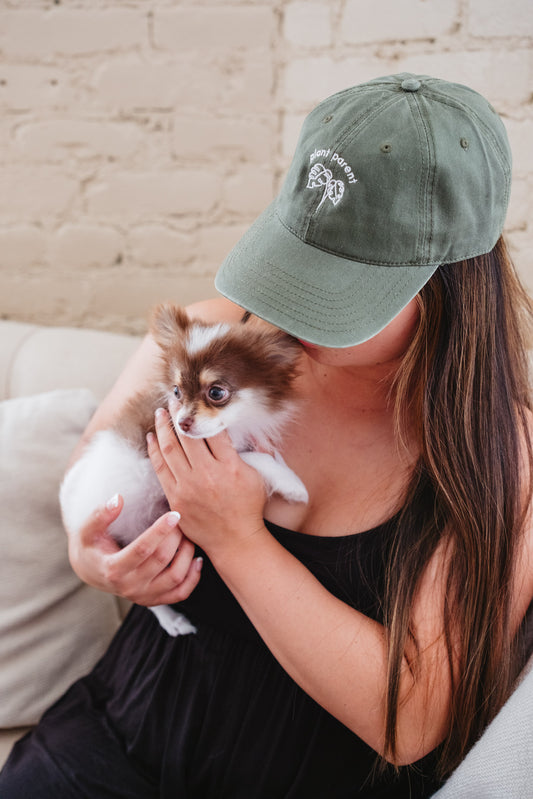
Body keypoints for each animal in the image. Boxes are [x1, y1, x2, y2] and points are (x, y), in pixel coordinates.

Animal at [59, 306, 308, 636]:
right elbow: (254, 459)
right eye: (176, 391)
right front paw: (292, 485)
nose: (183, 423)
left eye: (216, 392)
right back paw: (171, 620)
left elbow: (267, 453)